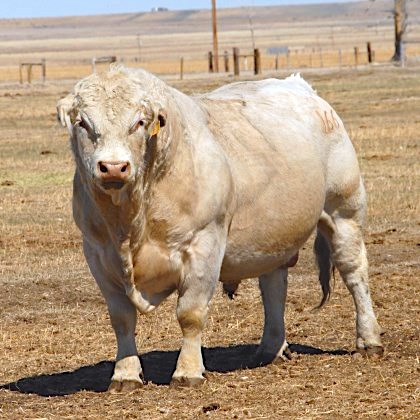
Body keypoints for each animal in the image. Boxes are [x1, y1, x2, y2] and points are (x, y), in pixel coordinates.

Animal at [57, 65, 382, 390]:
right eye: (83, 123)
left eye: (139, 122)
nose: (113, 167)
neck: (131, 220)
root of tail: (301, 87)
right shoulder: (99, 255)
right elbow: (122, 318)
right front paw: (125, 374)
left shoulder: (204, 245)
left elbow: (190, 314)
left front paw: (188, 371)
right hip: (273, 235)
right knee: (273, 286)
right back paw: (271, 348)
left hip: (344, 211)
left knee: (355, 273)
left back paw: (369, 339)